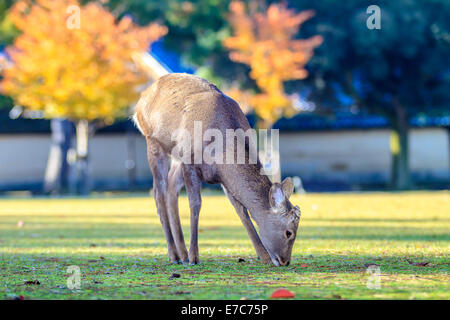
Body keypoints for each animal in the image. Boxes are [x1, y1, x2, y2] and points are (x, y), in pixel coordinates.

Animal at [134, 74, 302, 266]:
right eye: (288, 232)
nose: (285, 261)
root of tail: (141, 99)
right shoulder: (190, 161)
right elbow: (195, 204)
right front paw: (194, 257)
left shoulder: (223, 177)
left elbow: (241, 210)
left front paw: (263, 256)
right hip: (153, 141)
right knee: (158, 191)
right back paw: (175, 255)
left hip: (177, 155)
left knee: (170, 187)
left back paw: (182, 254)